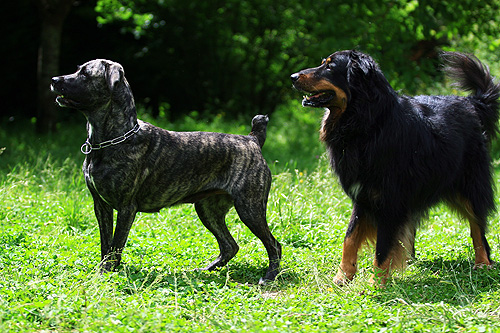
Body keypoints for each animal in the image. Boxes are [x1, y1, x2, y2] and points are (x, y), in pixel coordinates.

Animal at [50, 59, 282, 282]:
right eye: (78, 69)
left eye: (85, 74)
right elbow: (105, 245)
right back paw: (206, 270)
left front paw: (107, 274)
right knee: (230, 246)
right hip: (209, 210)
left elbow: (116, 245)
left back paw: (270, 276)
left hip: (249, 208)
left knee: (273, 244)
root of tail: (252, 139)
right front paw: (103, 271)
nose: (54, 79)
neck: (114, 138)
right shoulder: (101, 205)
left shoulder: (126, 208)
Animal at [292, 50, 498, 284]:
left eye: (329, 66)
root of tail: (471, 103)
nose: (293, 77)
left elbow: (383, 247)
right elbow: (350, 237)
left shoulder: (391, 200)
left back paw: (482, 262)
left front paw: (377, 283)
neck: (368, 123)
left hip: (470, 185)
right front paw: (343, 276)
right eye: (322, 63)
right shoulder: (363, 196)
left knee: (477, 226)